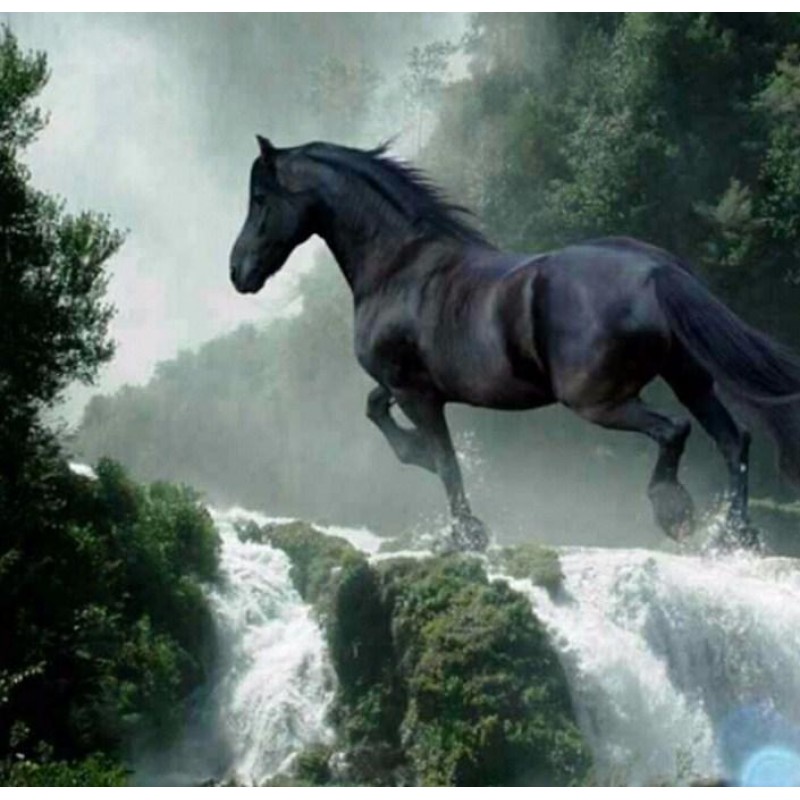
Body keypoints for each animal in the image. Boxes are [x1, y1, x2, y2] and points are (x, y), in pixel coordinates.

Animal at [230, 136, 800, 551]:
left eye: (260, 200)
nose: (238, 272)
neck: (399, 267)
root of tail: (655, 269)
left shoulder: (417, 393)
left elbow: (445, 462)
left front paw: (467, 534)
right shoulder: (403, 386)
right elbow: (378, 411)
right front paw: (418, 458)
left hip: (597, 400)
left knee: (675, 431)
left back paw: (674, 512)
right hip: (688, 378)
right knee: (734, 441)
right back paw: (735, 537)